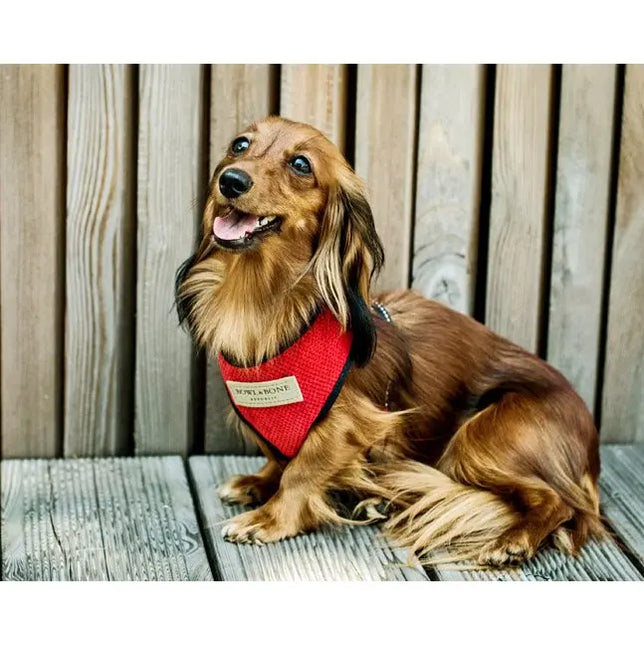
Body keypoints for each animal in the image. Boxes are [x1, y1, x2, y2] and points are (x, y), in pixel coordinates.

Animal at [175, 117, 604, 568]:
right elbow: (280, 459)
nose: (231, 180)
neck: (262, 300)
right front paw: (258, 482)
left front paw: (271, 518)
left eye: (301, 164)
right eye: (239, 145)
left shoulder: (351, 425)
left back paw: (514, 540)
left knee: (557, 501)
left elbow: (301, 470)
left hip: (484, 435)